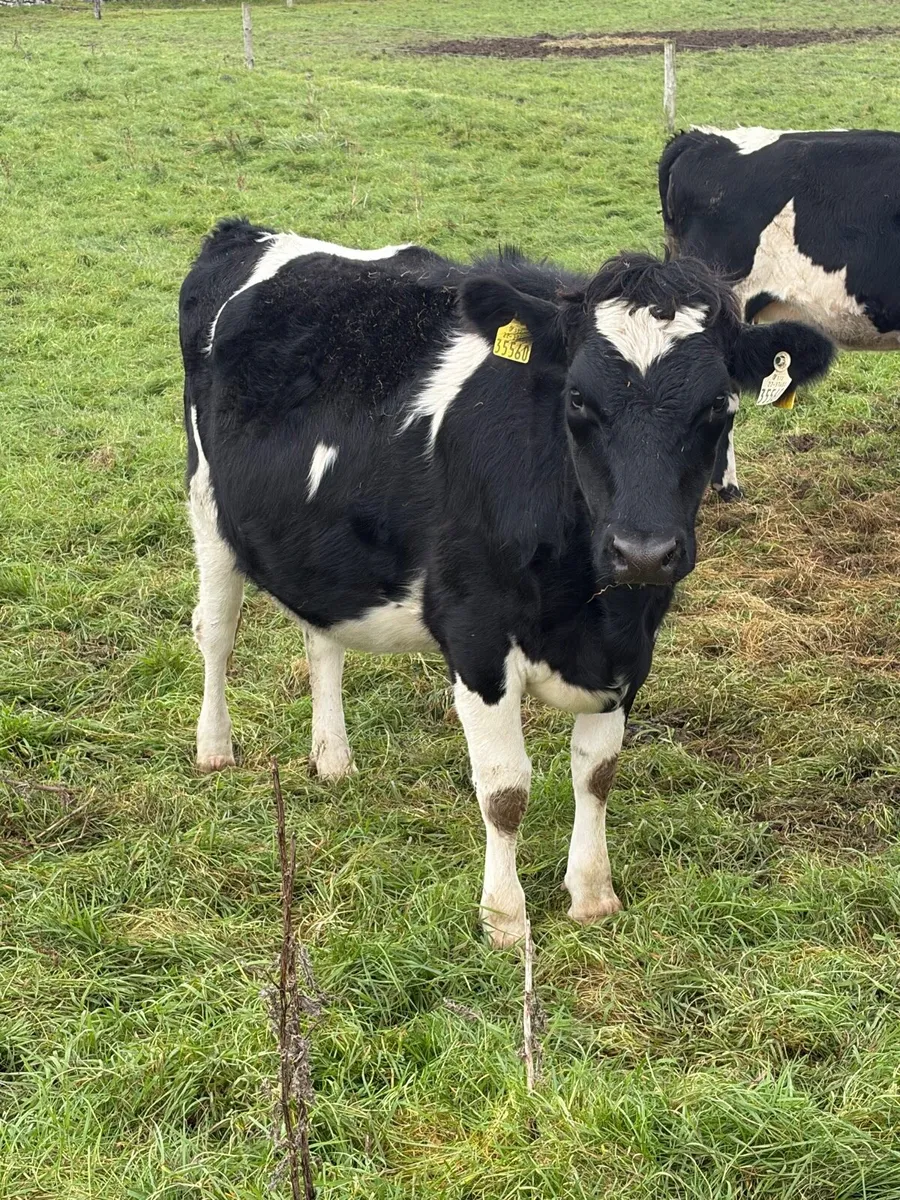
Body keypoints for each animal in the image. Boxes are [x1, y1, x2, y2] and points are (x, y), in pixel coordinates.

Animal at [179, 219, 834, 947]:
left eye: (719, 404)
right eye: (577, 398)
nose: (642, 552)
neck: (586, 607)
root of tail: (247, 231)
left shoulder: (633, 643)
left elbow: (597, 772)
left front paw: (592, 894)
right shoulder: (477, 637)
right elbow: (505, 789)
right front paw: (505, 918)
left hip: (321, 543)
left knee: (323, 640)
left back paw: (333, 758)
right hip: (208, 505)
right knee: (216, 633)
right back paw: (215, 749)